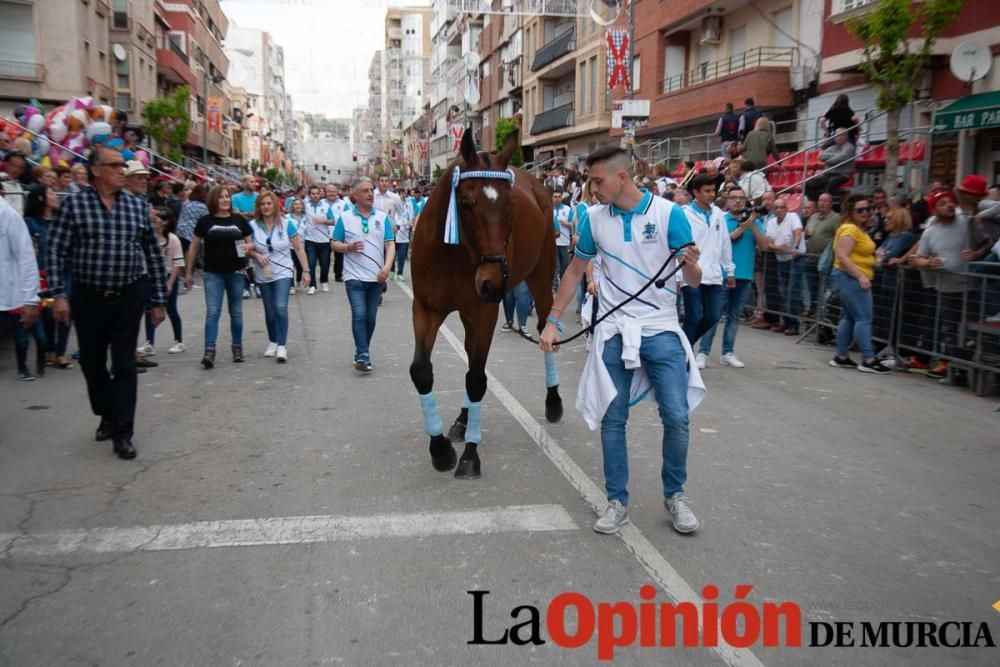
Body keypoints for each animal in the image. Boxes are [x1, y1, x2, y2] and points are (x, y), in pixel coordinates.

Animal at [408, 126, 564, 480]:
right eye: (465, 202)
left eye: (511, 205)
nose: (494, 282)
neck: (453, 254)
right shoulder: (426, 309)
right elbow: (422, 371)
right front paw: (439, 449)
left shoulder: (484, 311)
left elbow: (477, 379)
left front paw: (470, 454)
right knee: (469, 355)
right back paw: (462, 420)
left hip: (541, 276)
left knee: (544, 329)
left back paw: (553, 401)